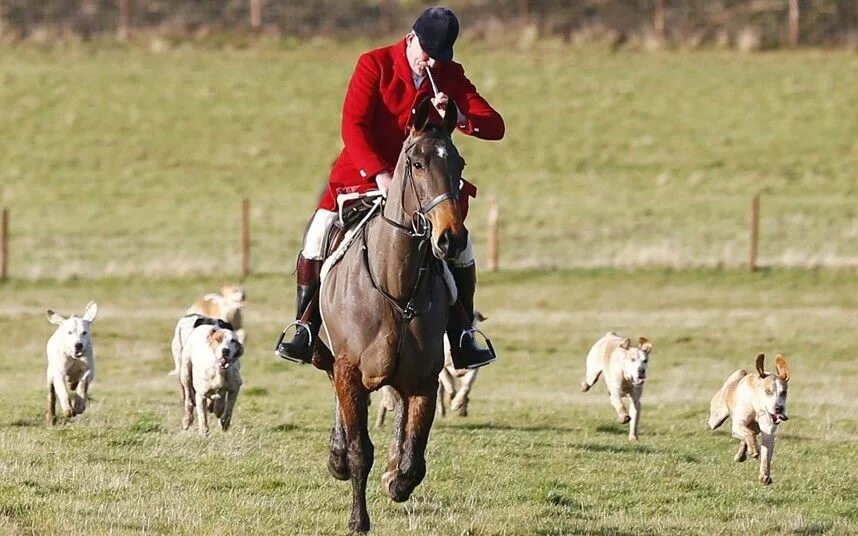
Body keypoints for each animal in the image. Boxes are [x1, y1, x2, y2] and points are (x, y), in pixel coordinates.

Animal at [310, 97, 464, 532]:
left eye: (460, 164)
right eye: (417, 163)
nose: (450, 238)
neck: (396, 286)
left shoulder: (424, 380)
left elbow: (414, 460)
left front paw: (395, 477)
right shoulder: (349, 370)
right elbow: (360, 450)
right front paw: (358, 518)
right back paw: (337, 454)